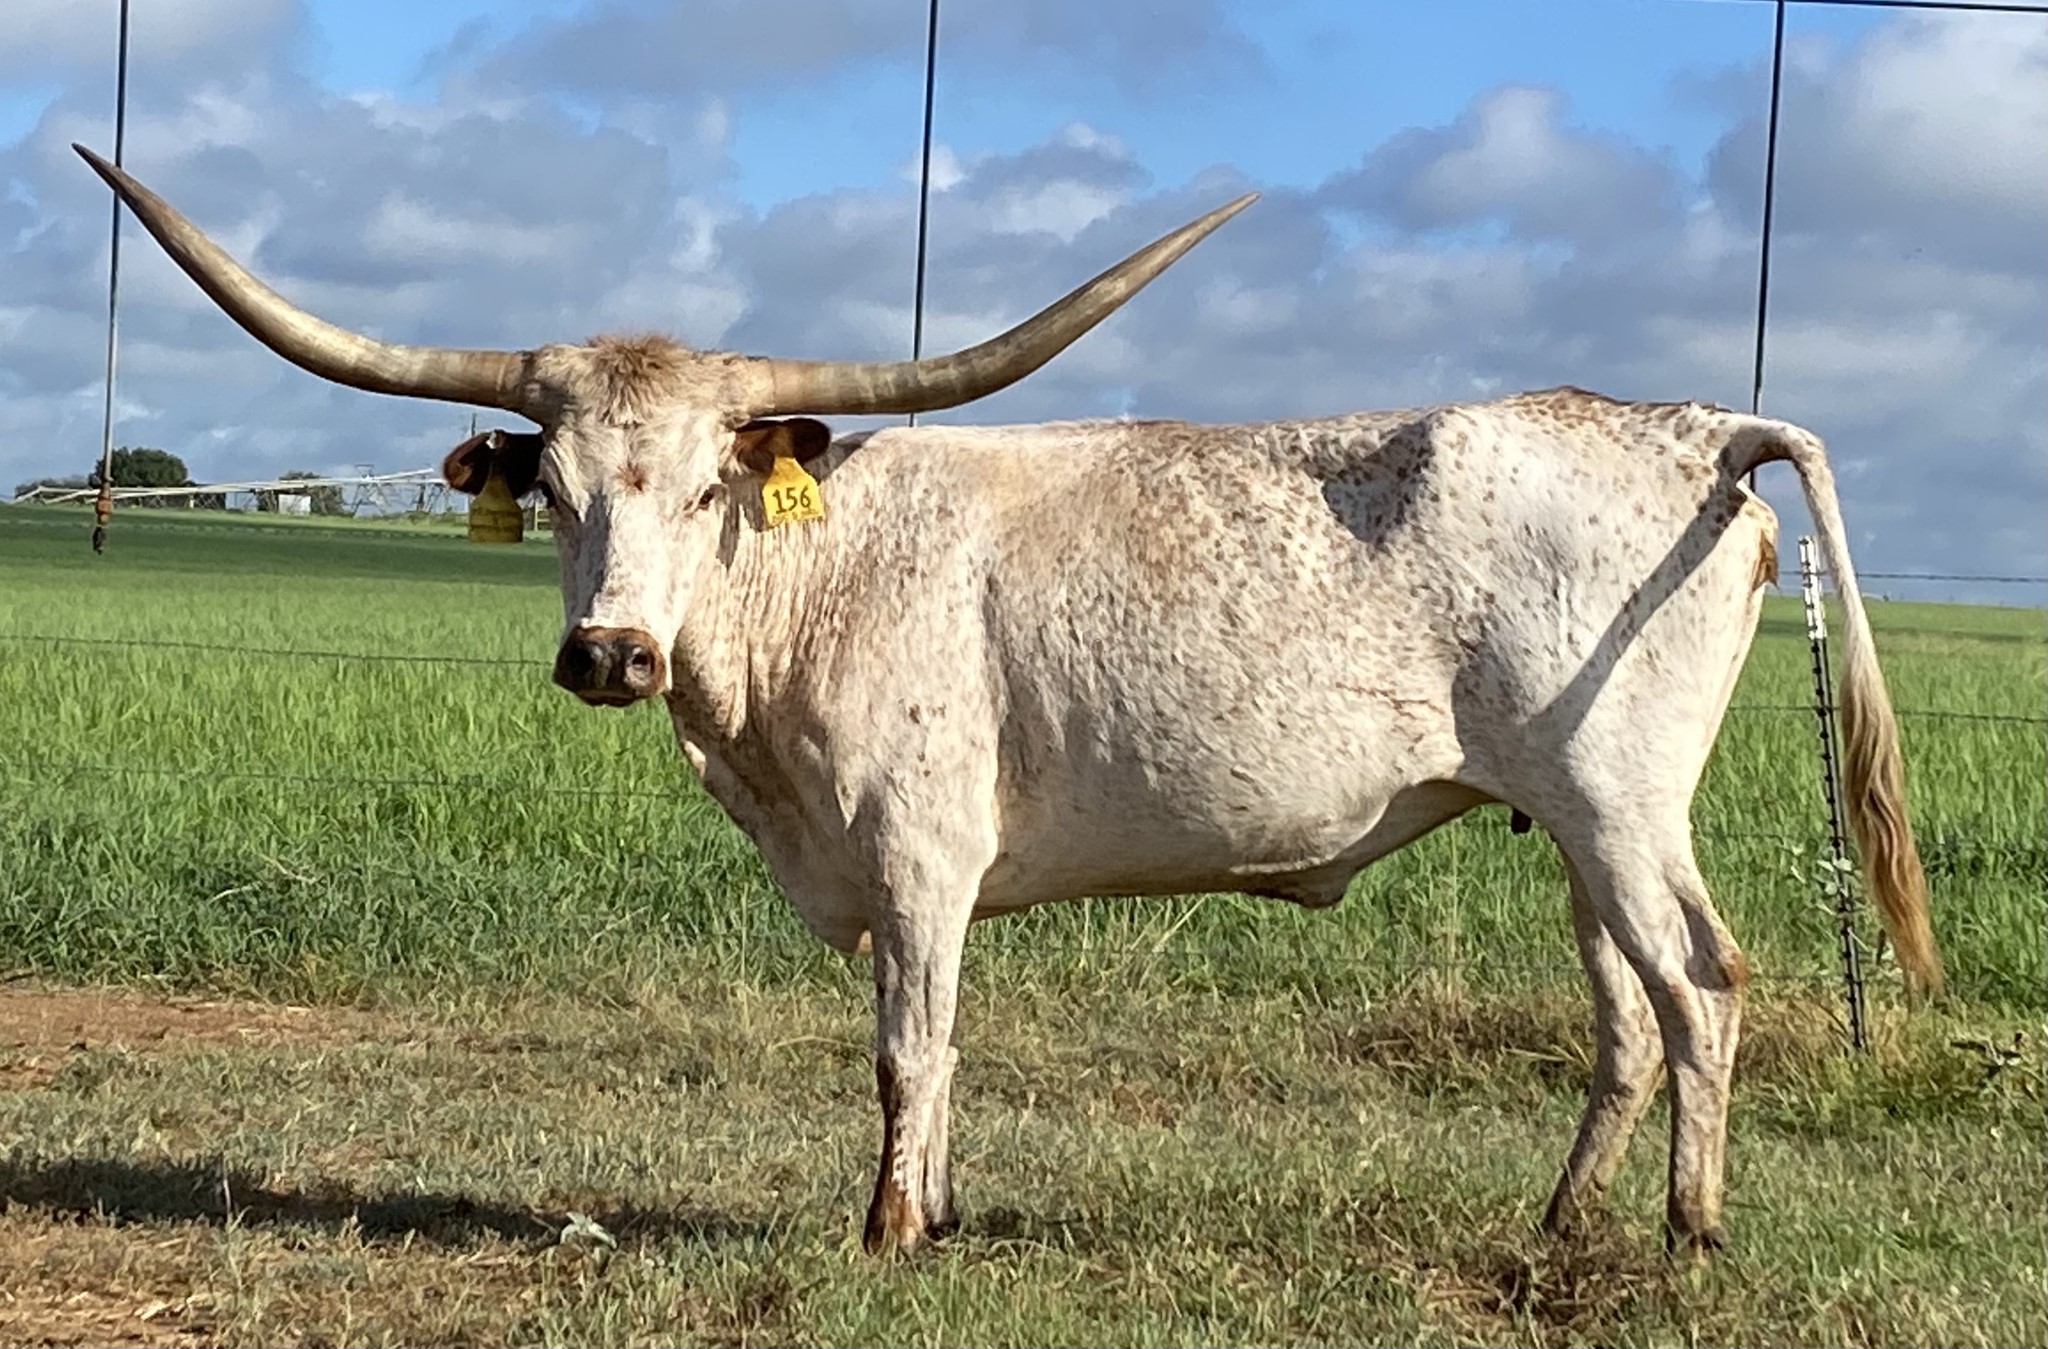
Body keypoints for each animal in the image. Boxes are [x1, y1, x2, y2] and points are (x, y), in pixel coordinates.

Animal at [79, 143, 1941, 1261]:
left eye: (705, 482)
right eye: (557, 489)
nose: (610, 653)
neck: (809, 582)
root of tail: (1692, 427)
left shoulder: (919, 855)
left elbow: (910, 1044)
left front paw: (894, 1228)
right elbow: (925, 1049)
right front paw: (934, 1206)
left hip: (1619, 800)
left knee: (1701, 984)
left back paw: (1687, 1237)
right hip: (1565, 818)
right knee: (1627, 1008)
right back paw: (1559, 1222)